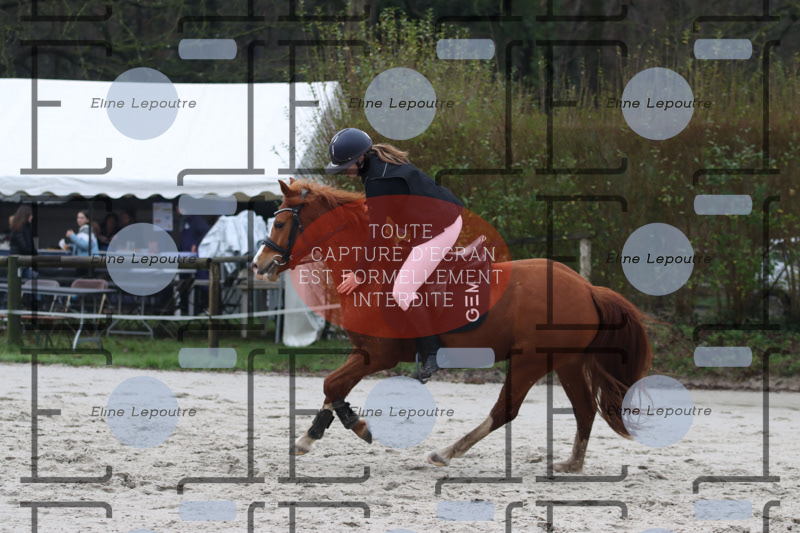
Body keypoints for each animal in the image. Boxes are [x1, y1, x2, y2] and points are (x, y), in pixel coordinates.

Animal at [252, 178, 652, 471]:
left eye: (281, 222)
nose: (259, 265)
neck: (366, 269)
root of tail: (587, 287)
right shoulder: (362, 351)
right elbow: (332, 387)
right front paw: (311, 435)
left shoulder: (378, 355)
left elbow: (331, 384)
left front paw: (357, 425)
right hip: (566, 360)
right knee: (584, 410)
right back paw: (571, 464)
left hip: (531, 359)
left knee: (505, 410)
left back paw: (445, 452)